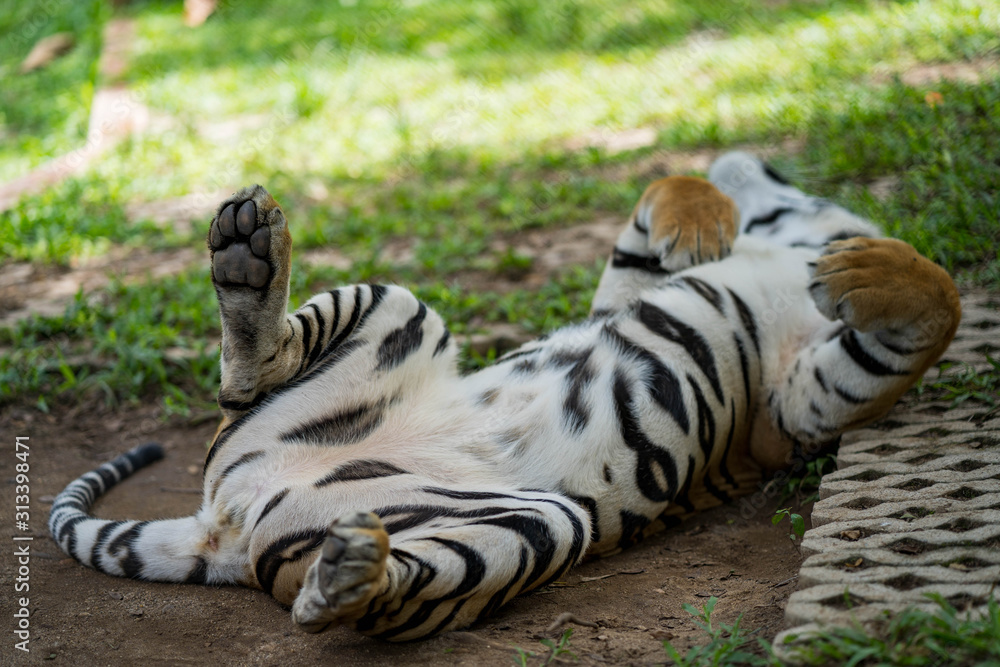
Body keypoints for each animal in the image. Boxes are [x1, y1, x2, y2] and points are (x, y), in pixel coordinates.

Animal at [48, 150, 960, 641]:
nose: (752, 157)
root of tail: (222, 524)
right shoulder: (625, 295)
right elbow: (660, 194)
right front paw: (703, 218)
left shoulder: (800, 403)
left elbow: (940, 299)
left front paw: (864, 267)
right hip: (397, 305)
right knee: (251, 368)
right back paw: (246, 249)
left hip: (536, 520)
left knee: (360, 599)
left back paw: (349, 573)